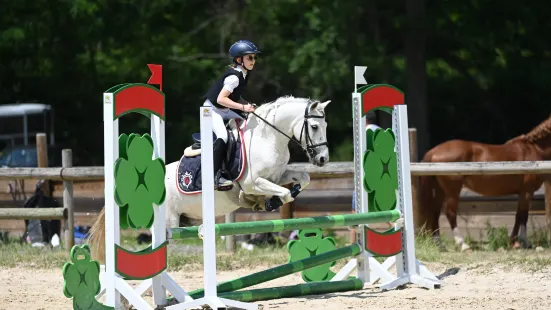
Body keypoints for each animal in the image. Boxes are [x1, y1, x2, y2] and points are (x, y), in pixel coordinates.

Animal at [90, 95, 330, 262]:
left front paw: (274, 199)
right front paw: (270, 202)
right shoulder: (253, 183)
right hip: (168, 222)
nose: (323, 159)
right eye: (314, 126)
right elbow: (285, 193)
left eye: (325, 126)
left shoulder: (278, 175)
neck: (268, 138)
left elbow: (303, 178)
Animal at [418, 115, 551, 251]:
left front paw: (514, 242)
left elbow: (519, 216)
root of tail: (434, 151)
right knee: (450, 213)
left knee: (435, 212)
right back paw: (463, 244)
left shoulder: (523, 193)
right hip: (452, 190)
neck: (534, 149)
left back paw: (440, 244)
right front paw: (523, 242)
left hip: (440, 190)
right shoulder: (527, 192)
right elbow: (523, 216)